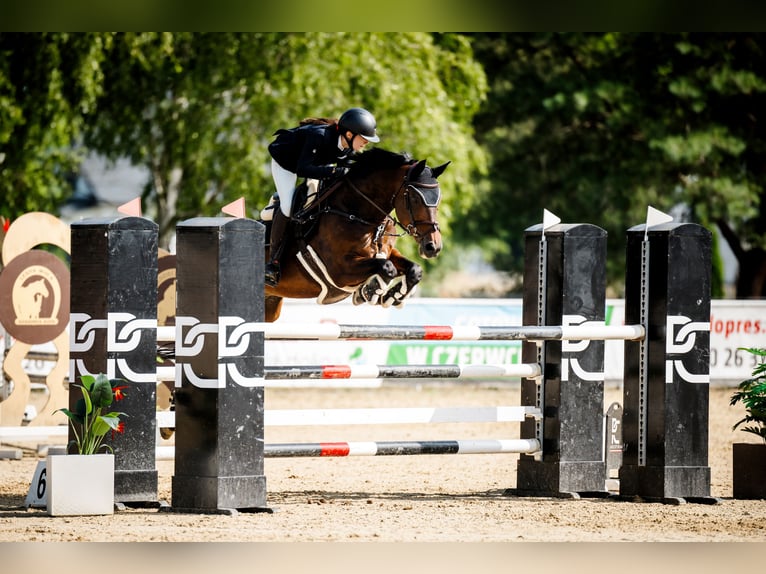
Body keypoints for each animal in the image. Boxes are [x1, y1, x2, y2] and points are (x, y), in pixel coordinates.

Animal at [262, 147, 450, 324]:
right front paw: (369, 290)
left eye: (439, 199)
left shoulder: (387, 252)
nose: (433, 247)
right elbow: (387, 267)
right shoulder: (340, 270)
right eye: (415, 198)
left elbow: (413, 269)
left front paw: (394, 296)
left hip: (271, 303)